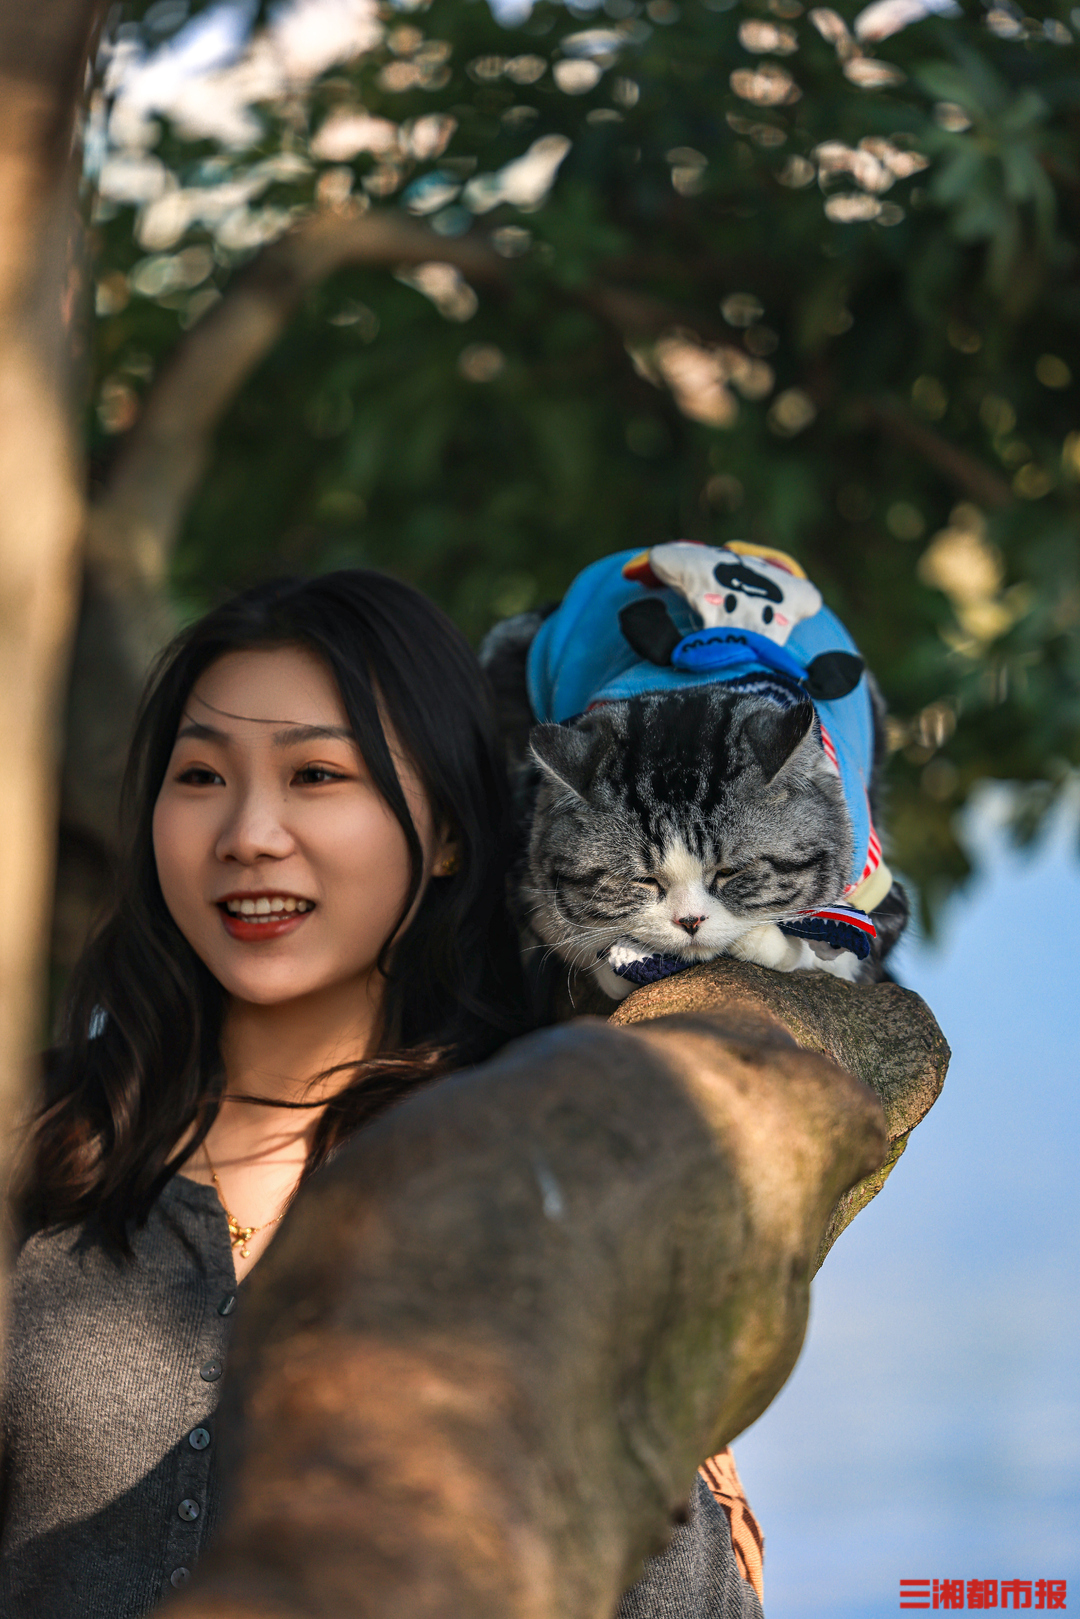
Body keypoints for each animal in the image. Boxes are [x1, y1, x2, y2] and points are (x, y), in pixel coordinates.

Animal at [480, 543, 908, 1004]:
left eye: (730, 873)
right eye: (643, 880)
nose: (690, 921)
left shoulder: (879, 890)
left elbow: (834, 950)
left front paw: (765, 940)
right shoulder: (525, 872)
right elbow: (571, 932)